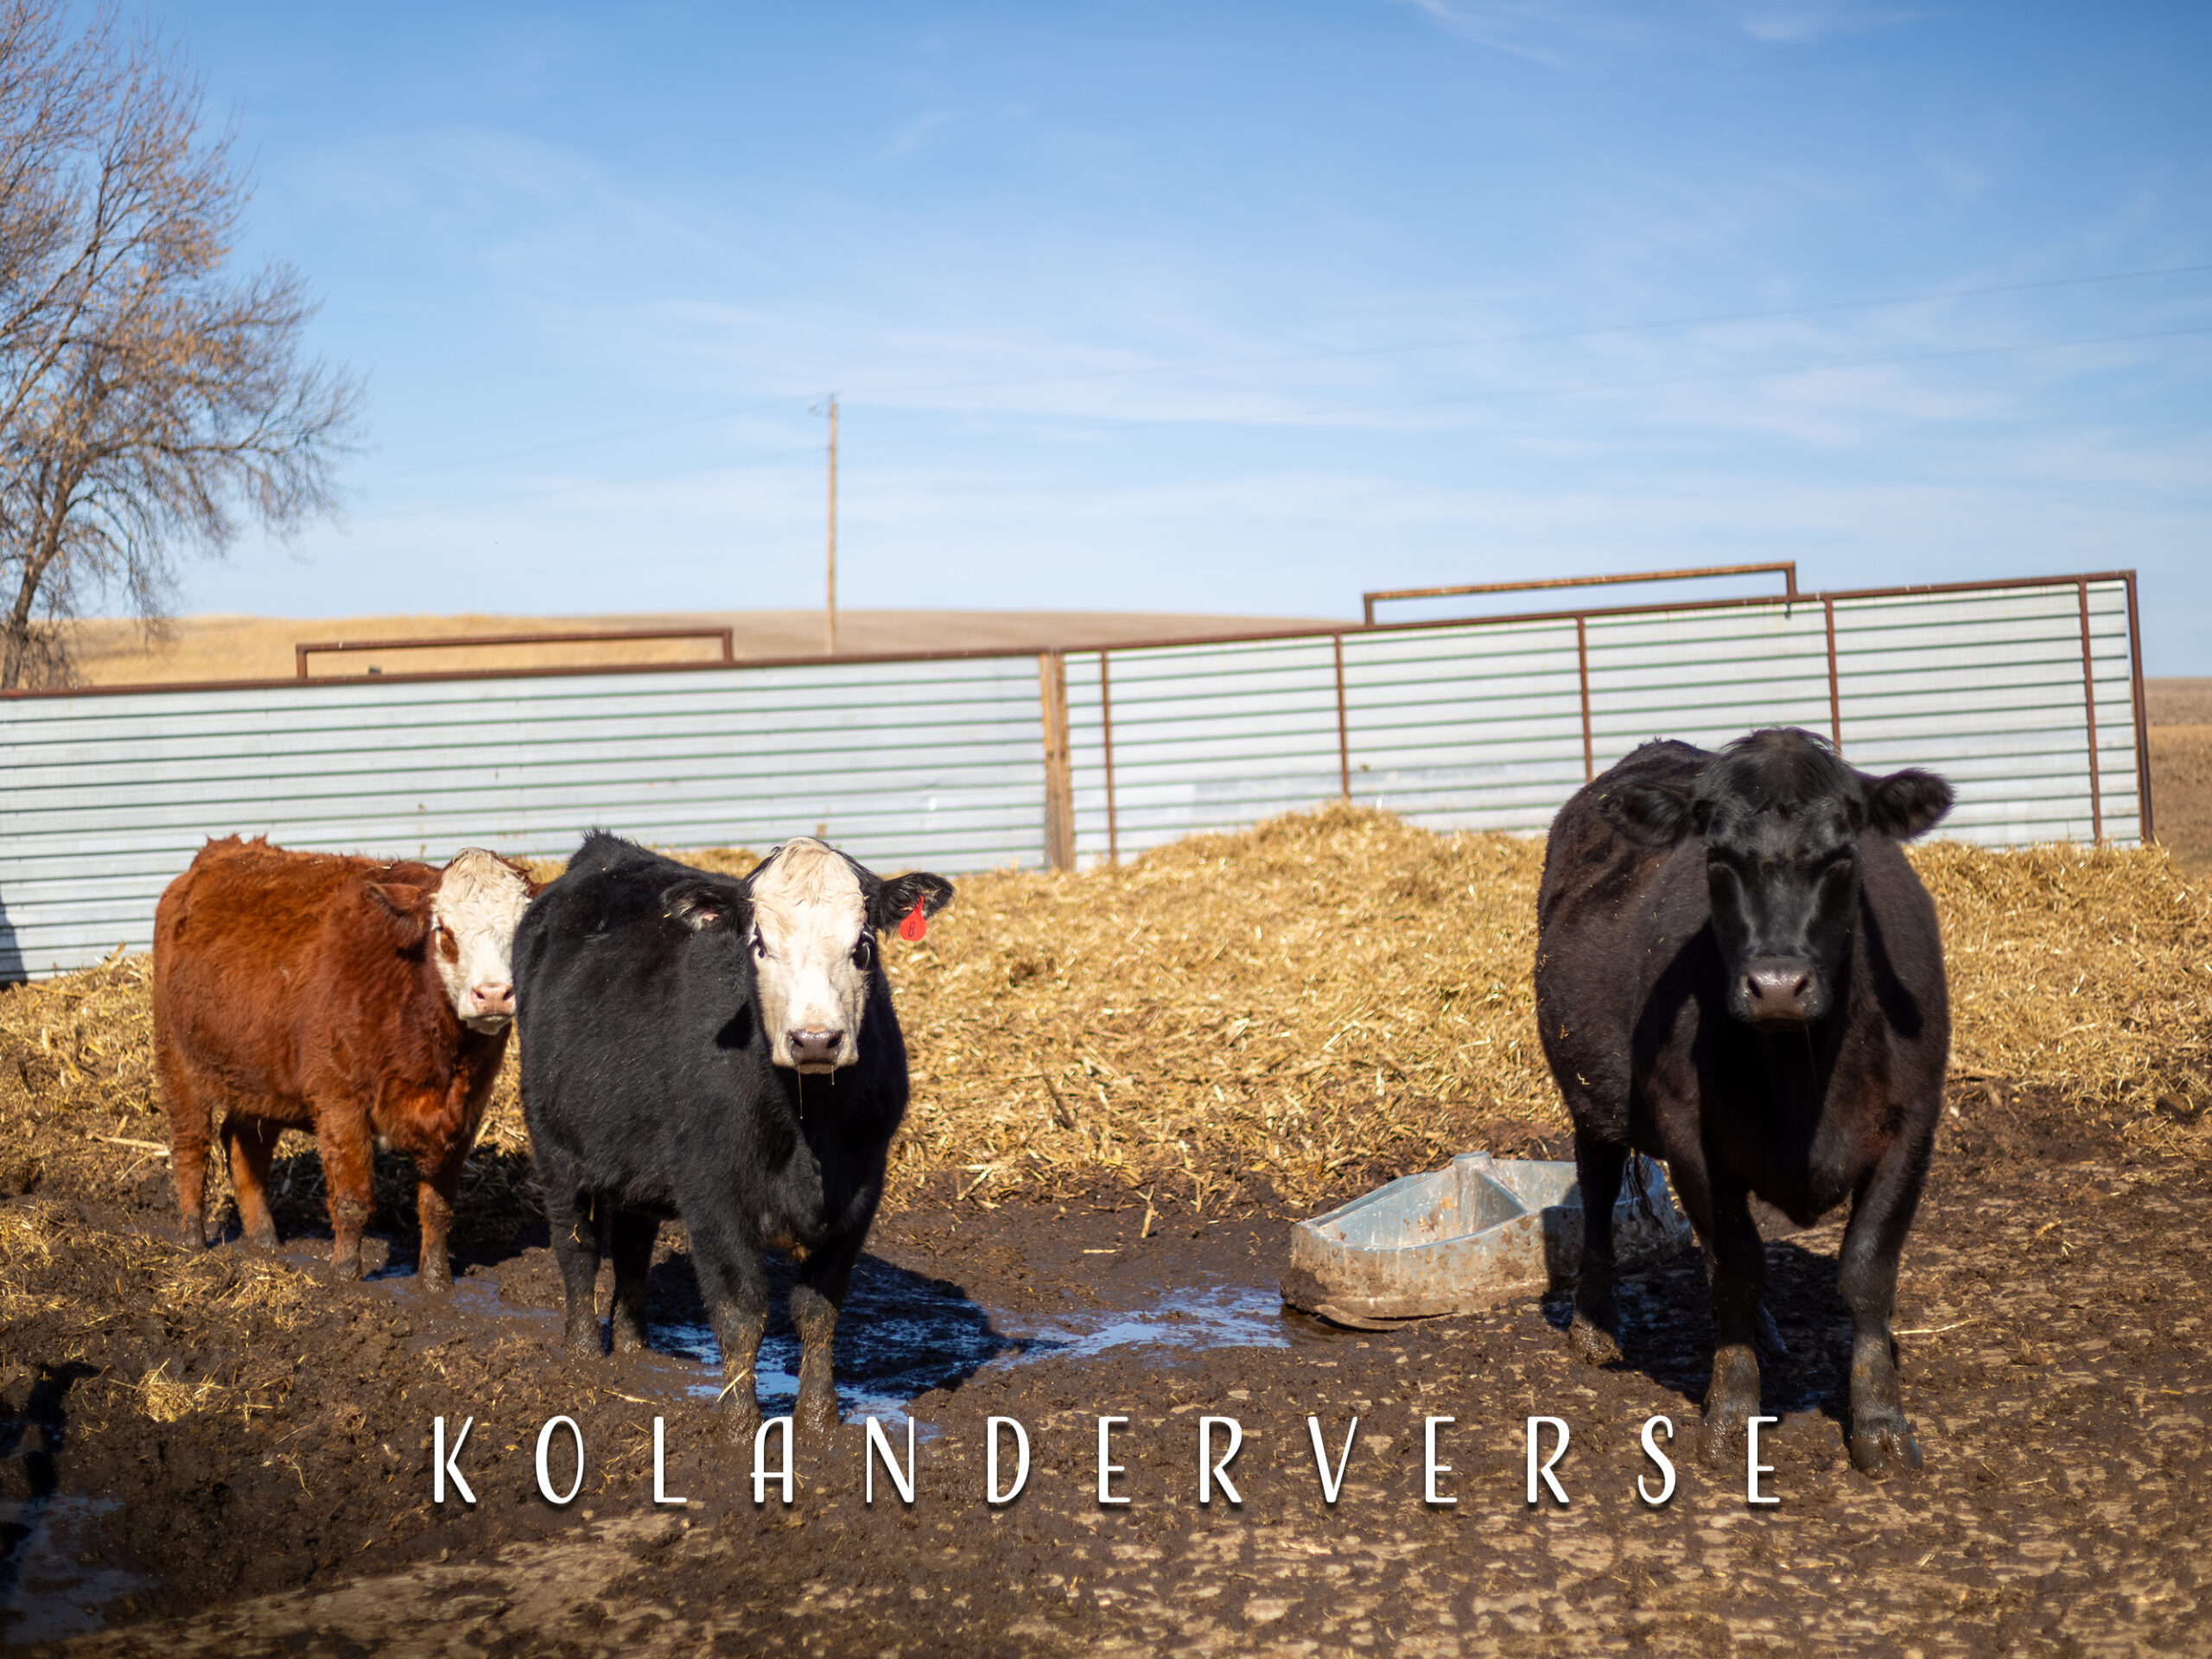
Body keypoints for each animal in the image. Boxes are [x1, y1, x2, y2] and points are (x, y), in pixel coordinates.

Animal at [153, 836, 536, 1288]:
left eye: (521, 930)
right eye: (444, 929)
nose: (493, 995)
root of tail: (215, 855)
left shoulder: (467, 1111)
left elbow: (437, 1207)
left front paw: (436, 1282)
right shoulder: (341, 1102)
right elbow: (353, 1200)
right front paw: (344, 1278)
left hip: (259, 1076)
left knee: (244, 1144)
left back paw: (264, 1239)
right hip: (178, 1062)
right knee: (191, 1147)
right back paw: (192, 1238)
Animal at [512, 832, 953, 1438]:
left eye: (862, 946)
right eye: (759, 945)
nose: (815, 1040)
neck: (808, 1126)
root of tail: (602, 853)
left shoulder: (861, 1191)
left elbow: (819, 1311)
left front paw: (819, 1420)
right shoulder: (713, 1192)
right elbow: (741, 1314)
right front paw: (741, 1426)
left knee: (631, 1244)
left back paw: (633, 1348)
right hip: (555, 1148)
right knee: (576, 1249)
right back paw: (583, 1356)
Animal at [1533, 728, 1953, 1477]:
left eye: (1843, 853)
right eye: (1717, 858)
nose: (1778, 985)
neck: (1800, 1075)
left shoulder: (1913, 1126)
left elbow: (1867, 1272)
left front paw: (1879, 1422)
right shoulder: (1691, 1139)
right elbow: (1735, 1267)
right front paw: (1732, 1409)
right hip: (1591, 1099)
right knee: (1601, 1191)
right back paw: (1596, 1323)